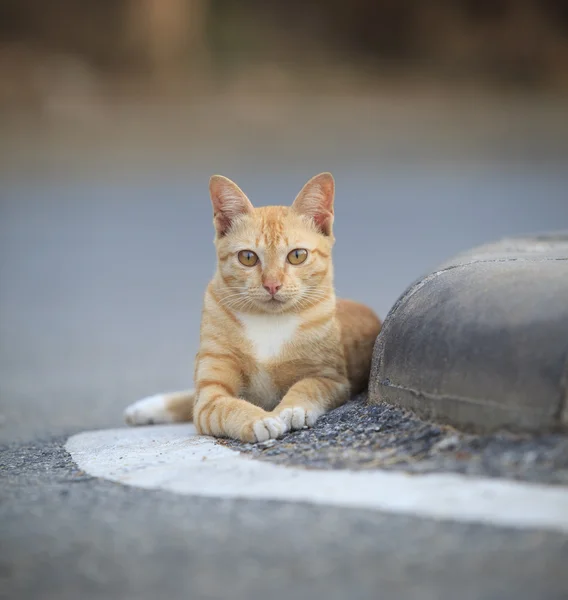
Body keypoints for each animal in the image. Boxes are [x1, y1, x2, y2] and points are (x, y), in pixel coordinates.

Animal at [124, 171, 382, 442]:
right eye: (247, 258)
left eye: (297, 256)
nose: (272, 285)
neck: (269, 321)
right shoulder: (210, 395)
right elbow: (228, 405)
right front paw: (260, 419)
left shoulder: (332, 378)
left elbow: (307, 386)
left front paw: (292, 409)